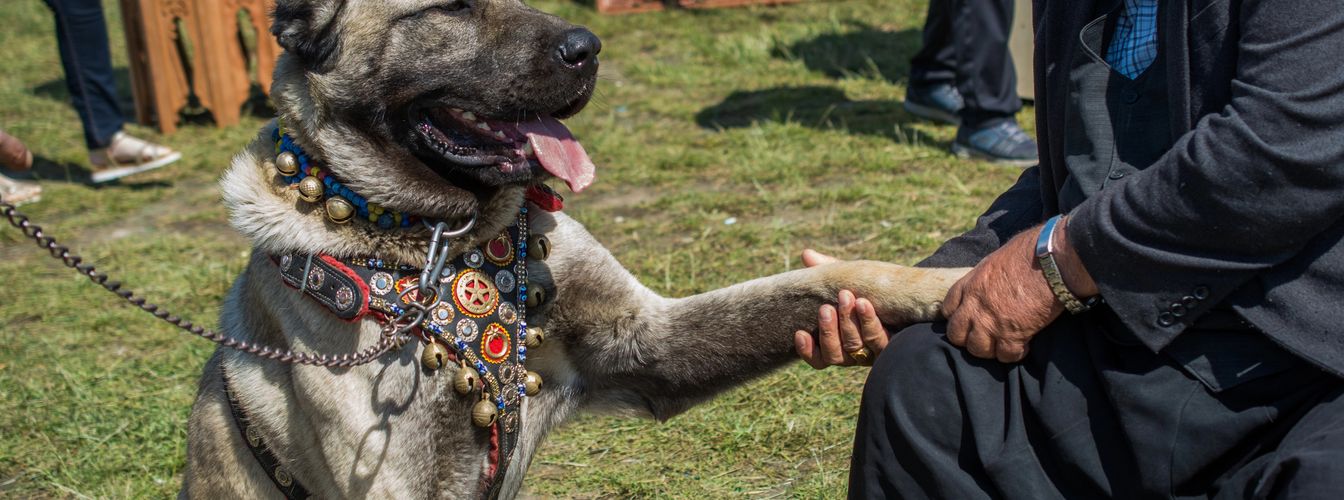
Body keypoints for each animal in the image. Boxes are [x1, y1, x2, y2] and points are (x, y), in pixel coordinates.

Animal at [184, 0, 973, 497]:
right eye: (451, 7)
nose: (587, 49)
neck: (444, 246)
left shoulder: (648, 342)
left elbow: (842, 274)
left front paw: (965, 282)